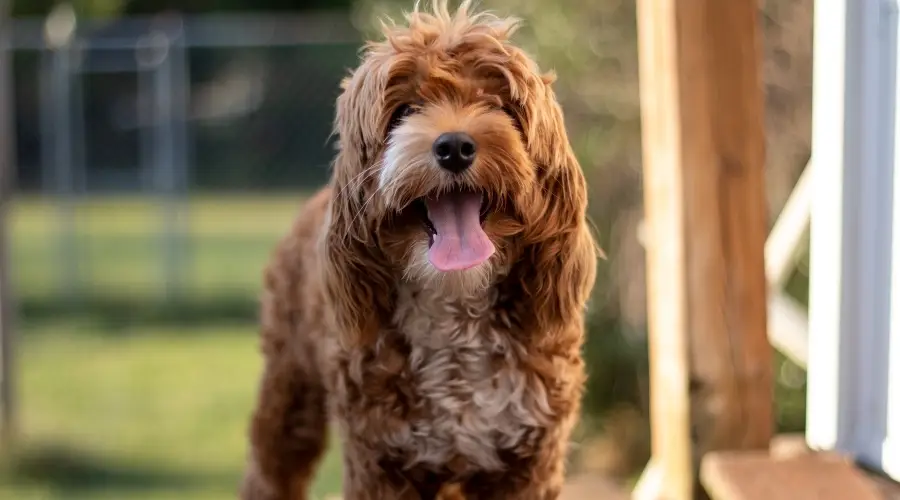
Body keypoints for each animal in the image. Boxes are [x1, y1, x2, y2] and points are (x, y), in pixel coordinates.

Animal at [243, 1, 600, 498]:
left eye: (498, 105)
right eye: (406, 110)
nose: (454, 146)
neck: (455, 304)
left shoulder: (528, 459)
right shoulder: (379, 459)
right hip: (288, 386)